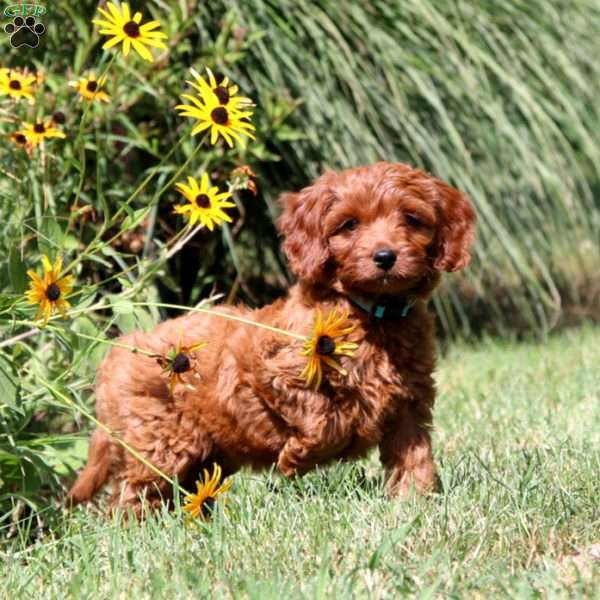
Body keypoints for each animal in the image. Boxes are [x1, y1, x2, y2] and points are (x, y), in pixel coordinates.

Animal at [68, 162, 476, 512]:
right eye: (349, 225)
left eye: (411, 219)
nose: (385, 256)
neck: (372, 315)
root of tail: (117, 353)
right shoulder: (274, 371)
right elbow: (320, 418)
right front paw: (297, 457)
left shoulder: (410, 404)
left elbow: (413, 457)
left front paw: (415, 503)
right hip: (157, 441)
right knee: (133, 493)